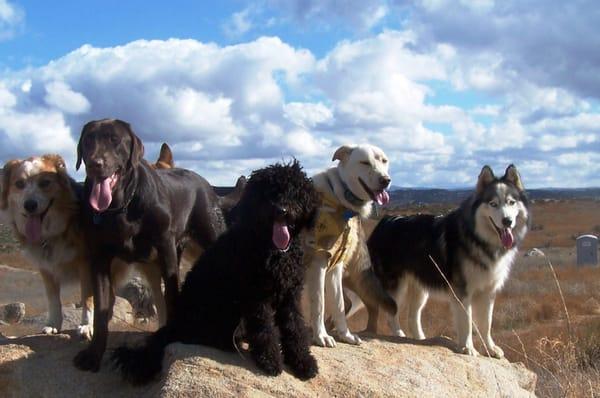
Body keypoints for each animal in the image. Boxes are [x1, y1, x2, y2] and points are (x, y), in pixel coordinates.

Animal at [112, 160, 318, 384]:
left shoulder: (290, 294)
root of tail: (175, 324)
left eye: (294, 192)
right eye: (268, 193)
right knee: (208, 336)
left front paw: (303, 362)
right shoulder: (256, 296)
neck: (273, 249)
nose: (282, 210)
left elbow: (295, 328)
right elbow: (264, 329)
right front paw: (270, 360)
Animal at [366, 165, 528, 358]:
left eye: (511, 202)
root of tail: (383, 222)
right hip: (395, 286)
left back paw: (421, 340)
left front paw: (490, 348)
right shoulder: (462, 291)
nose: (507, 221)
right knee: (391, 315)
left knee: (413, 317)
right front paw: (468, 348)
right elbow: (467, 321)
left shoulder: (488, 291)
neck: (479, 238)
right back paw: (399, 335)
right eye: (493, 204)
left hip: (420, 289)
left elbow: (486, 324)